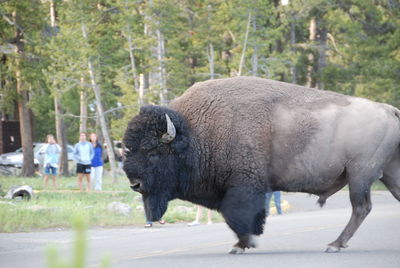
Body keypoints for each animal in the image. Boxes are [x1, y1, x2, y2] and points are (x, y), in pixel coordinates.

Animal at [122, 77, 400, 253]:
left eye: (153, 152)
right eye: (128, 148)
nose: (135, 184)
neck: (194, 133)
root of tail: (390, 110)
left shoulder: (243, 186)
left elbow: (237, 215)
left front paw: (242, 245)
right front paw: (244, 243)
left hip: (360, 175)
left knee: (361, 208)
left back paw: (335, 244)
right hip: (388, 172)